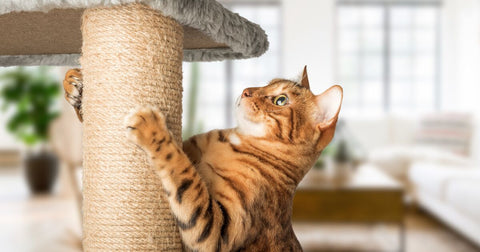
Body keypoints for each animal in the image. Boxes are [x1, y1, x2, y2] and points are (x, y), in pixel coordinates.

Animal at [62, 67, 342, 252]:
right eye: (267, 83)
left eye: (280, 100)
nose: (246, 91)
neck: (234, 142)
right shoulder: (190, 147)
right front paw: (76, 85)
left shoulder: (217, 231)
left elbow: (181, 168)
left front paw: (152, 127)